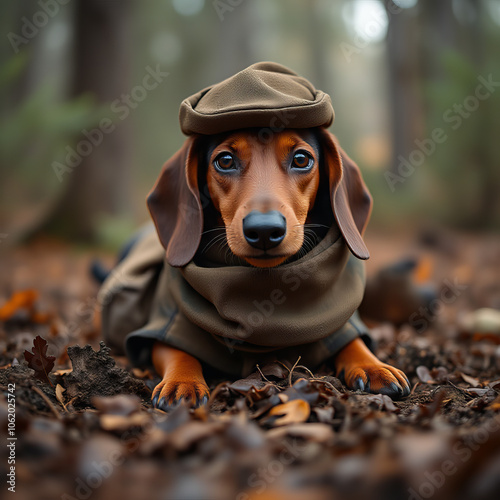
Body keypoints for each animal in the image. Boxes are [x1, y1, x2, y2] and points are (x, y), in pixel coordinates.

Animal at [146, 126, 410, 410]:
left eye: (302, 159)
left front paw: (373, 365)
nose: (264, 230)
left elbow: (354, 341)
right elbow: (177, 350)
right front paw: (182, 382)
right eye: (225, 161)